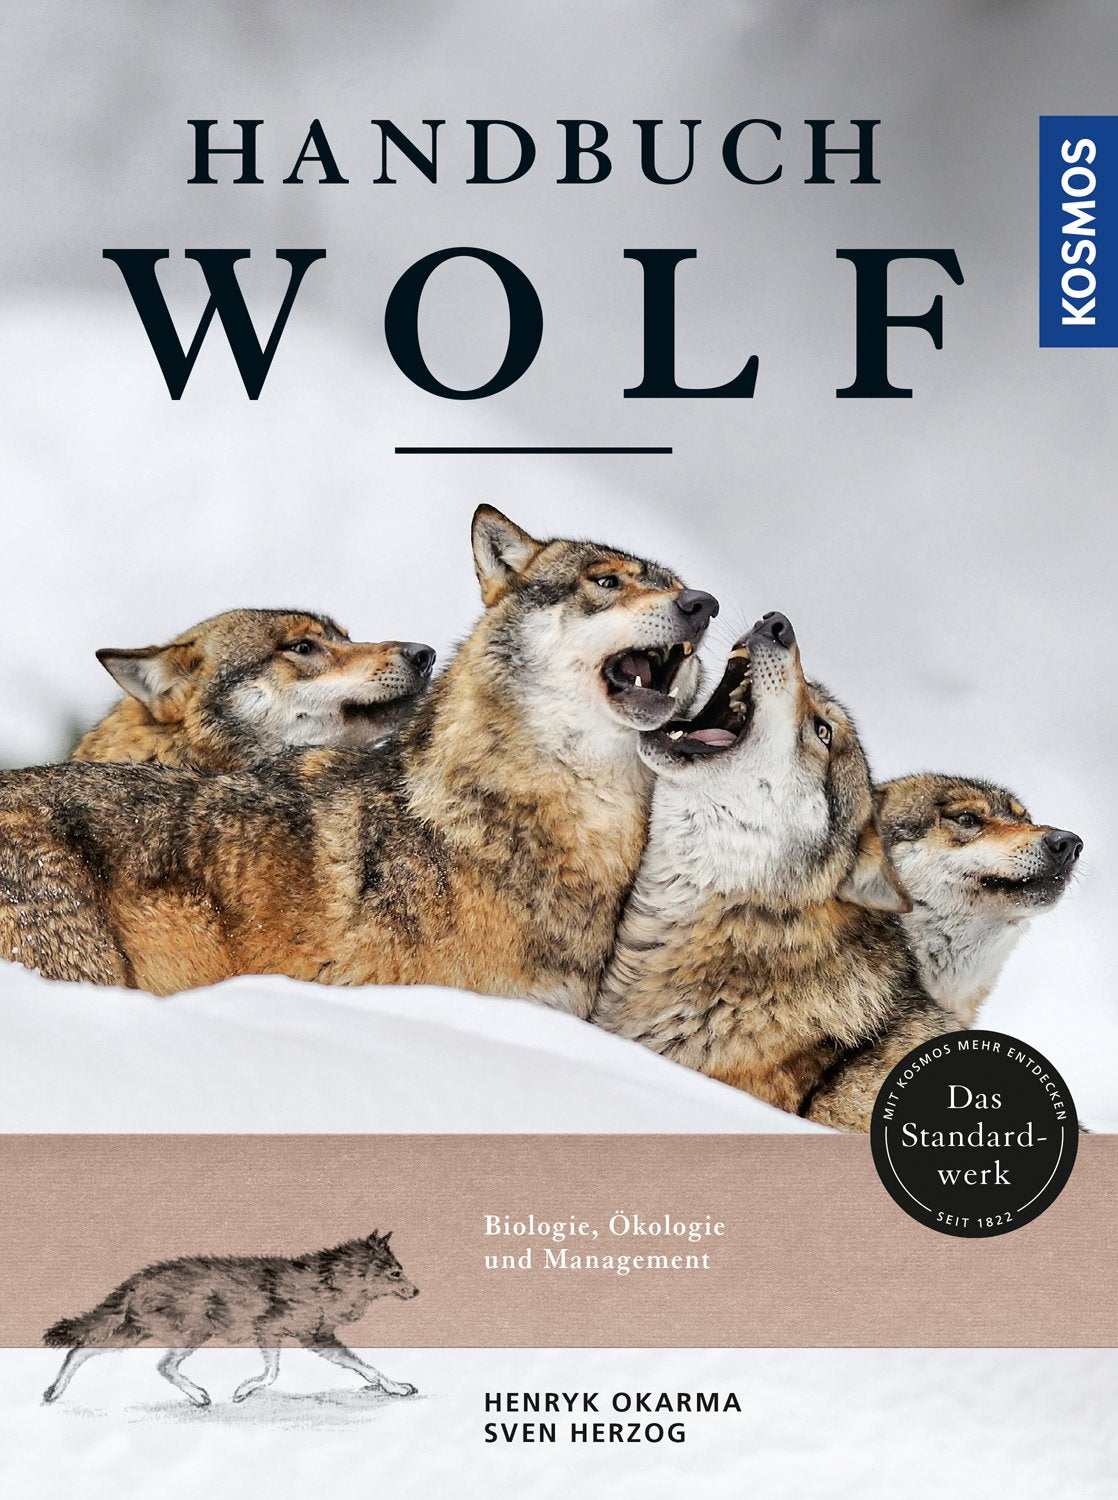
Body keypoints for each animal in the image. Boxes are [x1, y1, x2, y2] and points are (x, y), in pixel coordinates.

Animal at [41, 1230, 418, 1408]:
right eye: (396, 1273)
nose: (417, 1292)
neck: (330, 1282)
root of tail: (137, 1278)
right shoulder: (272, 1330)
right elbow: (272, 1373)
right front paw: (242, 1391)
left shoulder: (319, 1339)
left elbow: (368, 1368)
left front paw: (397, 1387)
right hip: (192, 1332)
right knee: (162, 1366)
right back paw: (198, 1396)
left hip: (132, 1333)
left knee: (79, 1350)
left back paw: (53, 1392)